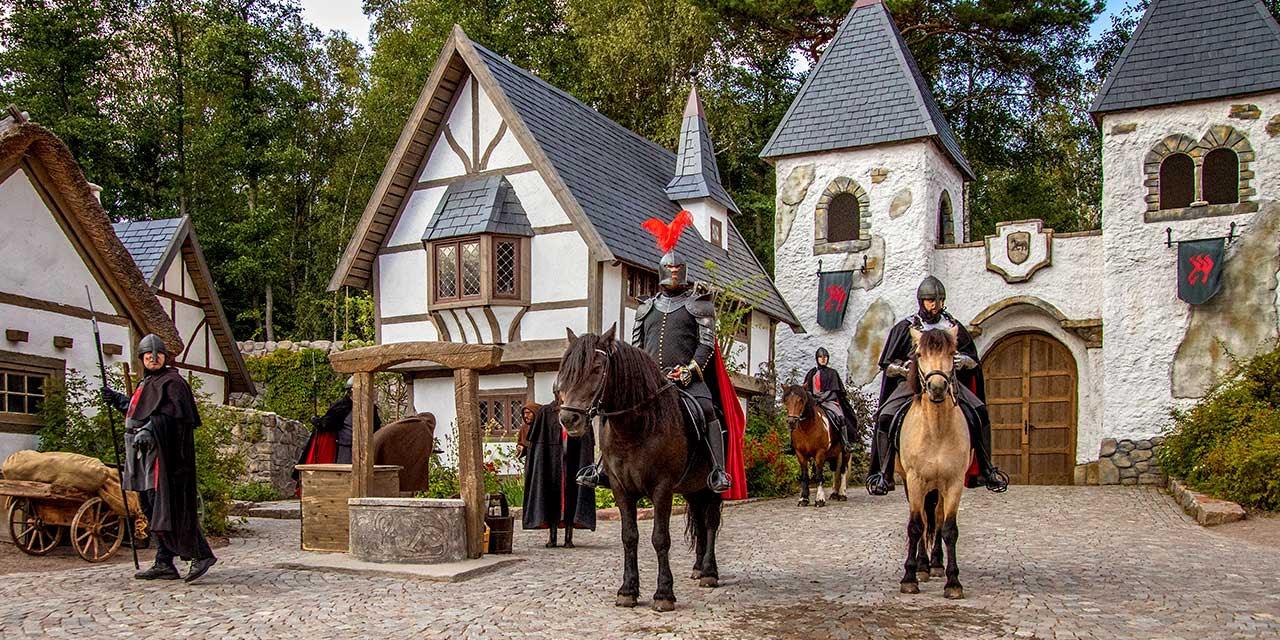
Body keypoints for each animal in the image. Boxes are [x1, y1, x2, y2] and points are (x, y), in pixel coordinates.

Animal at [556, 326, 724, 613]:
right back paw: (698, 567)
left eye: (597, 367)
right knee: (700, 521)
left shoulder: (662, 489)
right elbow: (629, 537)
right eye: (566, 369)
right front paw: (628, 590)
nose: (569, 419)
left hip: (711, 487)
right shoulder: (620, 489)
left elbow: (660, 538)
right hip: (692, 488)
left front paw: (664, 593)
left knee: (710, 522)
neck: (635, 426)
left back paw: (709, 572)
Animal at [896, 325, 969, 599]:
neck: (936, 430)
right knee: (925, 520)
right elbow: (916, 526)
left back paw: (935, 565)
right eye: (919, 353)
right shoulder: (915, 480)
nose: (937, 387)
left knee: (936, 519)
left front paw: (953, 582)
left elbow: (948, 529)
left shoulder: (955, 482)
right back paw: (923, 567)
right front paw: (909, 577)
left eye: (952, 353)